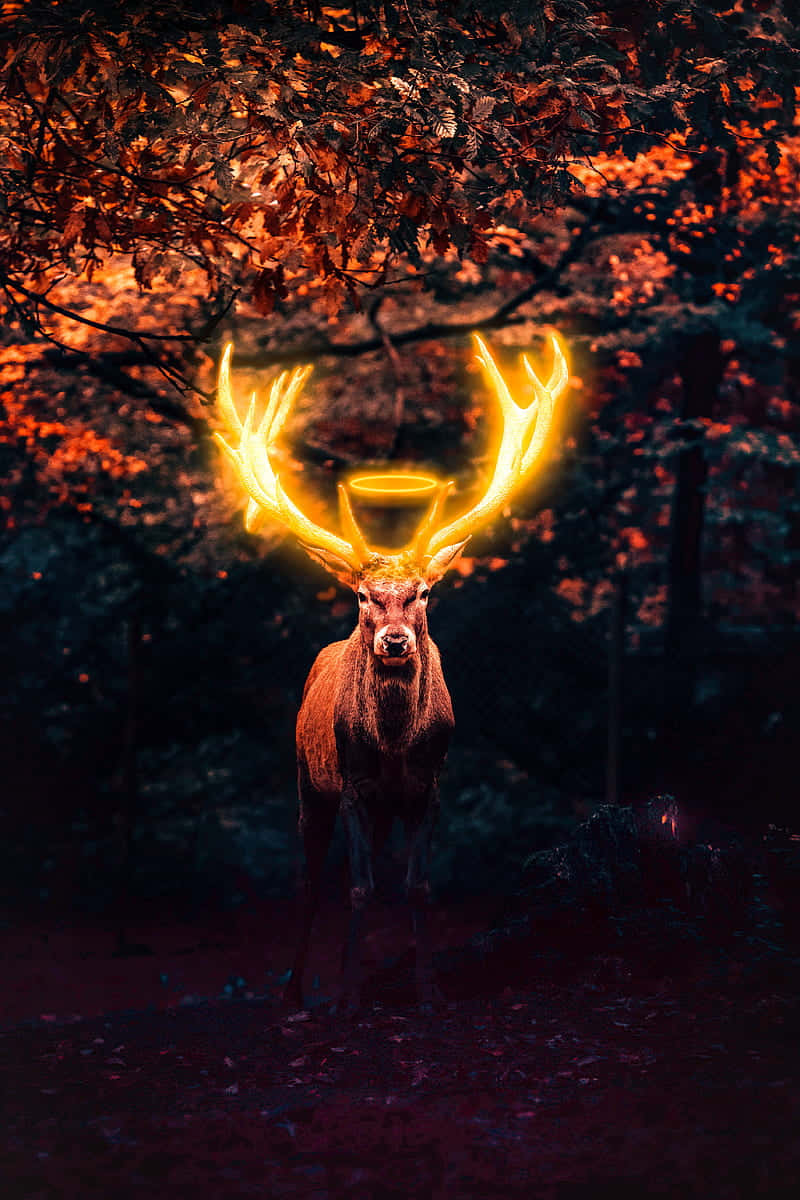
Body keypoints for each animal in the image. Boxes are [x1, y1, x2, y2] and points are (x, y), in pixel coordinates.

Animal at [213, 333, 568, 1014]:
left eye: (424, 592)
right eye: (361, 596)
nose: (395, 641)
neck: (398, 743)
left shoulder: (430, 785)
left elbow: (416, 886)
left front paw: (427, 990)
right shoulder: (353, 783)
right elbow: (356, 888)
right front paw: (348, 996)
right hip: (307, 781)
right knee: (311, 881)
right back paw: (296, 992)